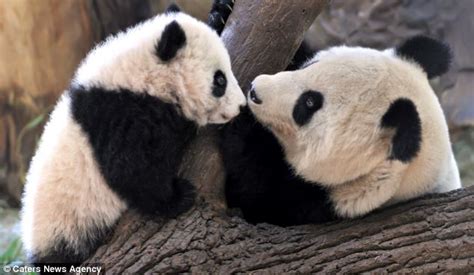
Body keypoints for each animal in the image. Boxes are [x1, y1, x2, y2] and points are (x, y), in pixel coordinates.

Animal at [20, 1, 244, 266]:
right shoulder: (121, 116)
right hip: (70, 226)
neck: (143, 74)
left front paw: (221, 11)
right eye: (220, 81)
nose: (242, 106)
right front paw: (178, 196)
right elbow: (129, 169)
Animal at [224, 35, 462, 226]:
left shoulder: (328, 204)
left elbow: (261, 190)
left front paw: (241, 120)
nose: (254, 91)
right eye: (308, 65)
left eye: (309, 103)